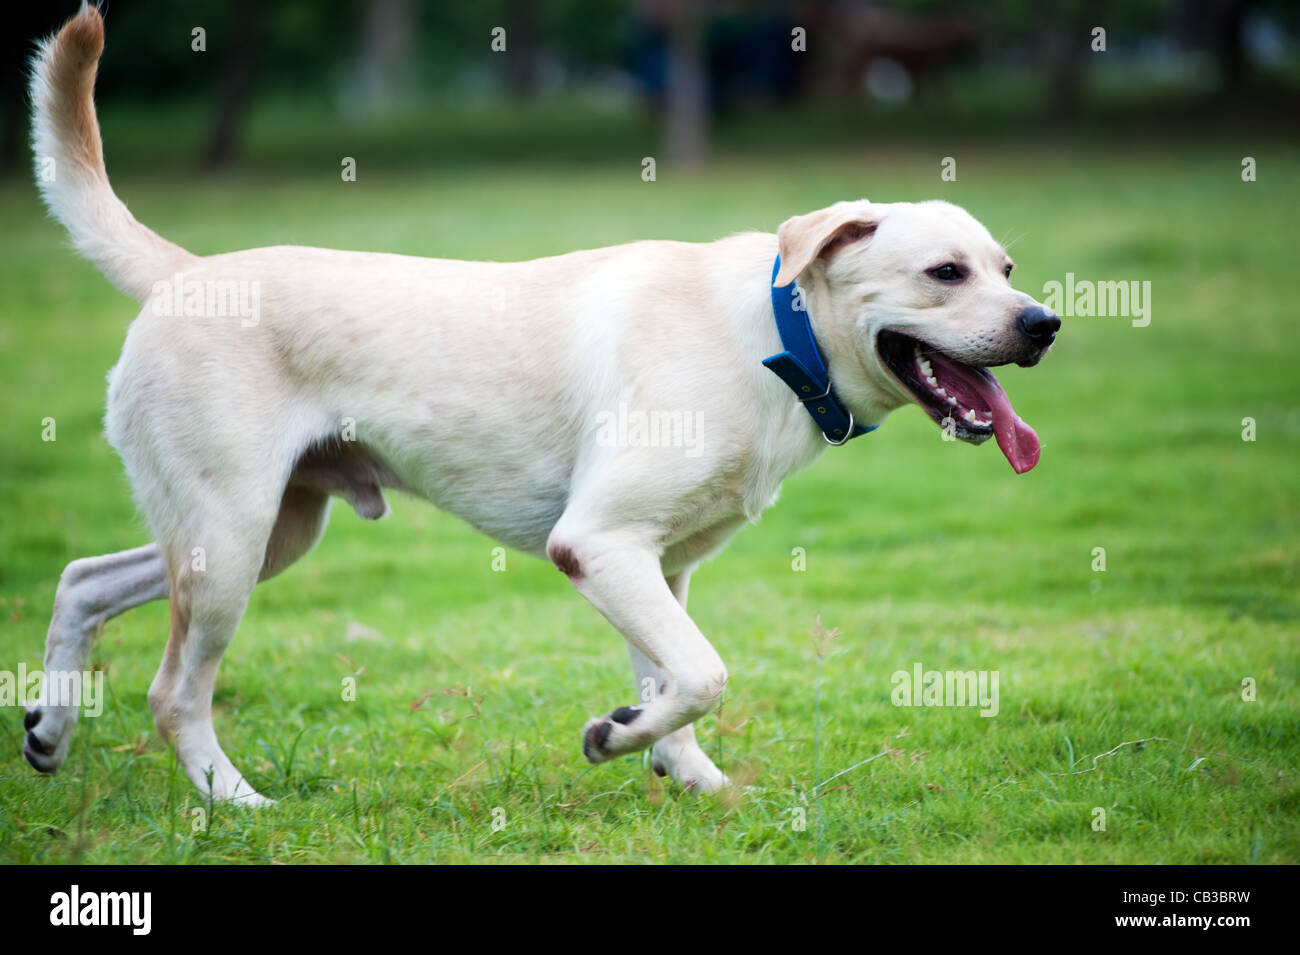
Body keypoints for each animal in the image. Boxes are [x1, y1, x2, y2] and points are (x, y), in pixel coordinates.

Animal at [22, 7, 1055, 805]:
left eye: (1006, 267)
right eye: (946, 273)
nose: (1044, 323)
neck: (773, 332)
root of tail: (185, 271)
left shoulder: (657, 563)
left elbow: (674, 678)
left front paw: (686, 773)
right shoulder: (596, 543)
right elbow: (705, 671)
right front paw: (617, 736)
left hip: (267, 531)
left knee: (82, 578)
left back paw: (48, 726)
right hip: (231, 541)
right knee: (173, 693)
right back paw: (232, 799)